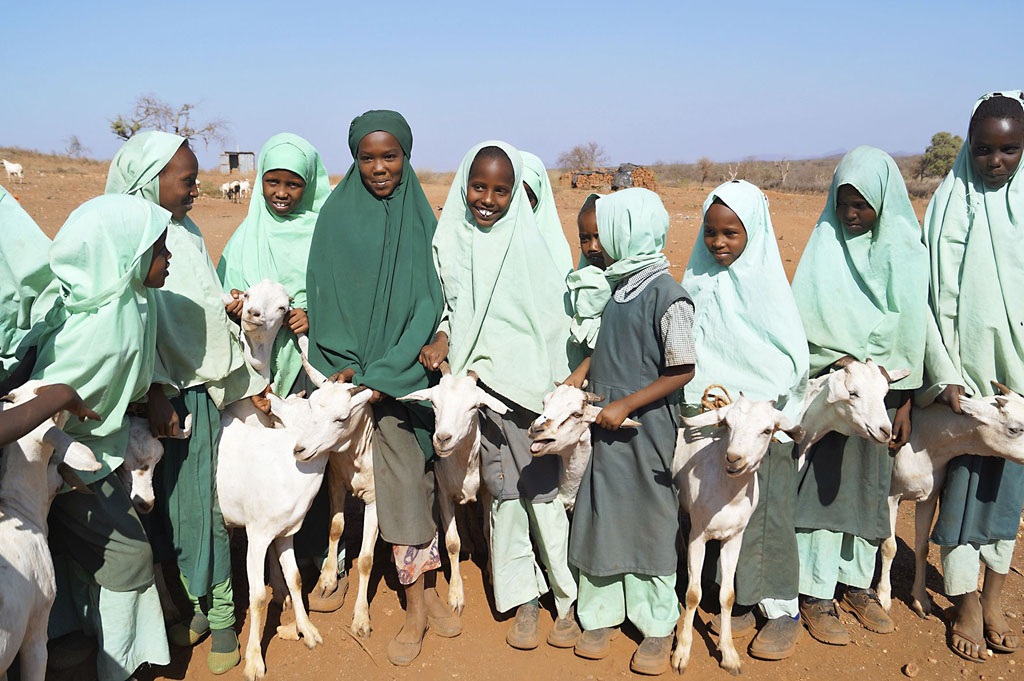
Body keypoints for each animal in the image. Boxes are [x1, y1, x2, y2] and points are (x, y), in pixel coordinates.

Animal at [217, 363, 373, 681]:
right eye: (308, 411)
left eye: (341, 418)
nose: (300, 449)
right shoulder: (257, 535)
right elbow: (257, 597)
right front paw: (254, 662)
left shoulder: (286, 532)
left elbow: (296, 578)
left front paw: (308, 631)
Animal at [398, 363, 510, 614]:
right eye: (434, 403)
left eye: (473, 407)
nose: (442, 439)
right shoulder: (443, 494)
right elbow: (451, 543)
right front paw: (456, 595)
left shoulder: (485, 492)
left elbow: (488, 531)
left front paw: (490, 571)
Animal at [876, 381, 1024, 618]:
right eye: (1014, 429)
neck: (925, 442)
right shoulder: (891, 496)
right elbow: (890, 546)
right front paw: (883, 597)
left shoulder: (929, 497)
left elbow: (922, 548)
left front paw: (921, 600)